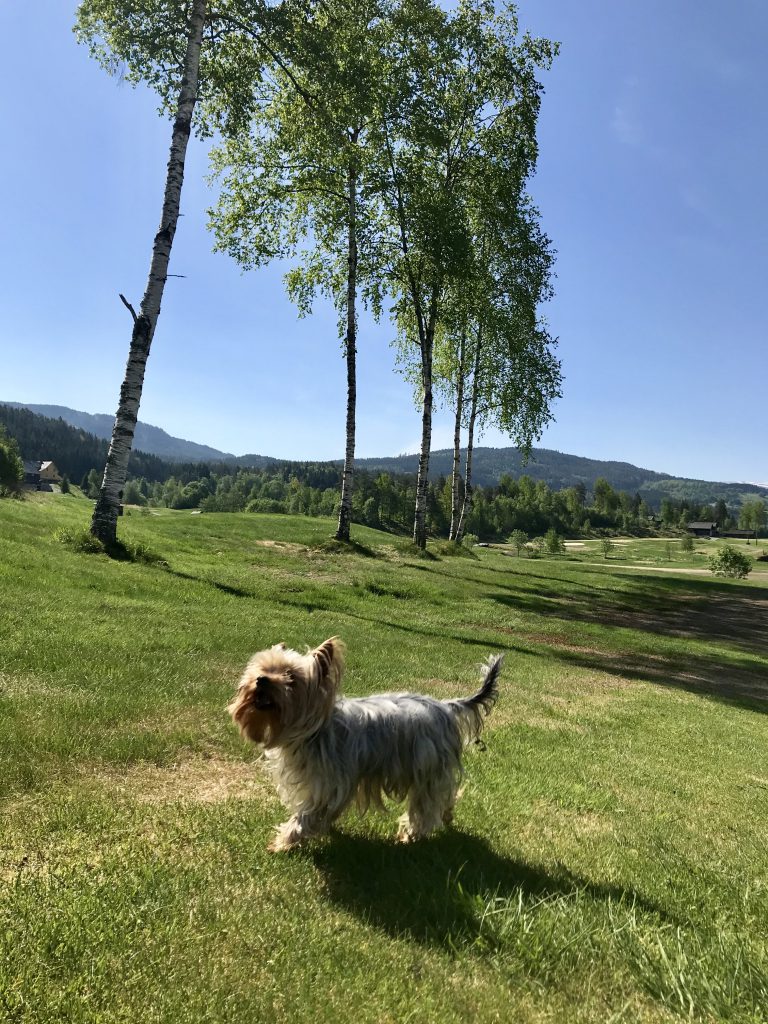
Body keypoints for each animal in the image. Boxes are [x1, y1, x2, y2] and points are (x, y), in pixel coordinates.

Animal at [227, 637, 502, 851]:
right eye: (263, 668)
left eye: (291, 677)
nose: (261, 680)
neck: (312, 732)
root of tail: (446, 707)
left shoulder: (328, 781)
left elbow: (306, 815)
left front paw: (284, 841)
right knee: (445, 795)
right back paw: (446, 814)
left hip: (427, 768)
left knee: (425, 806)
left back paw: (410, 836)